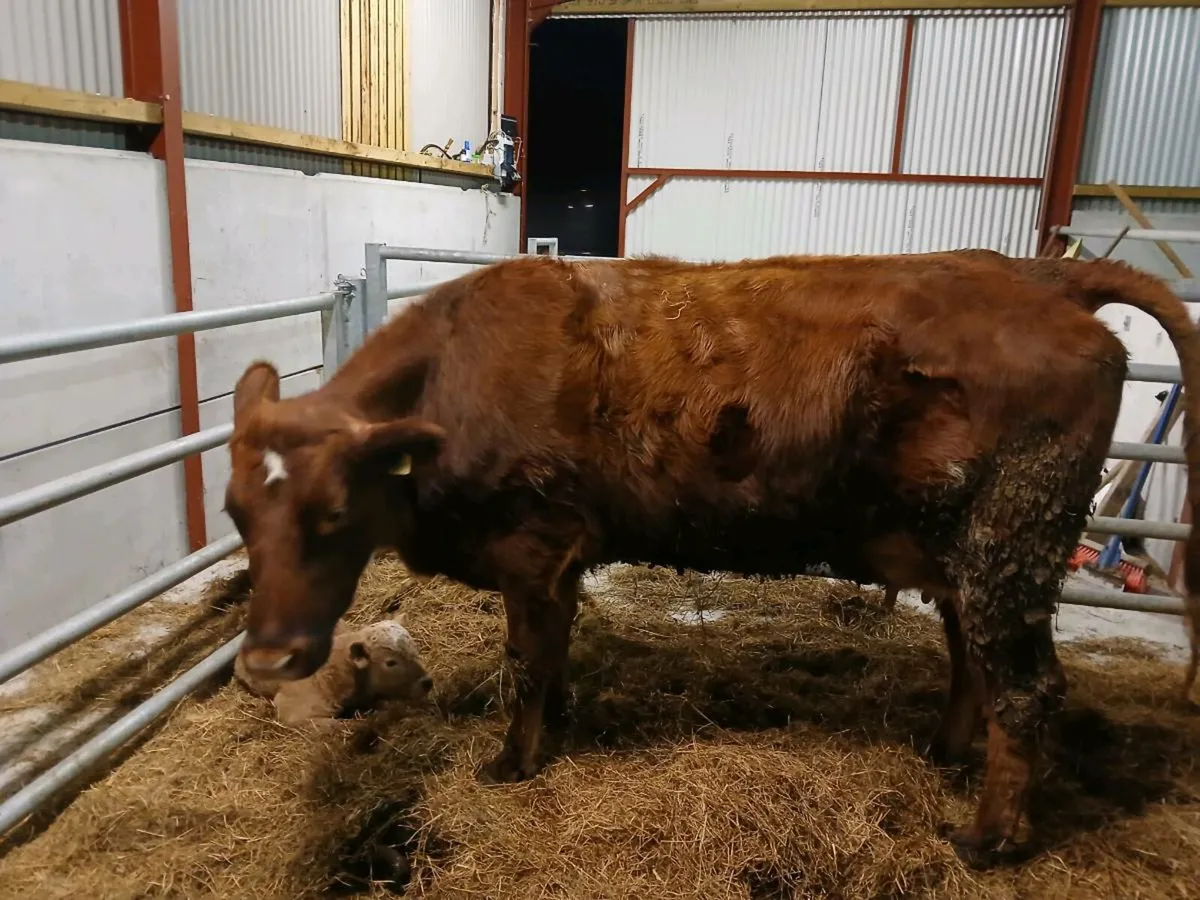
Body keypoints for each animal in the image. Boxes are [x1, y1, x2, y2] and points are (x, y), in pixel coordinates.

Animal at [222, 250, 1200, 866]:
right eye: (235, 512)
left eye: (333, 512)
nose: (263, 663)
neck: (457, 375)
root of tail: (1041, 273)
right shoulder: (562, 559)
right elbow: (555, 653)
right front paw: (557, 726)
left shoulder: (532, 545)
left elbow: (525, 662)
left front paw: (510, 762)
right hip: (967, 551)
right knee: (975, 664)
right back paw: (942, 754)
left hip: (1008, 544)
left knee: (1025, 688)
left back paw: (989, 839)